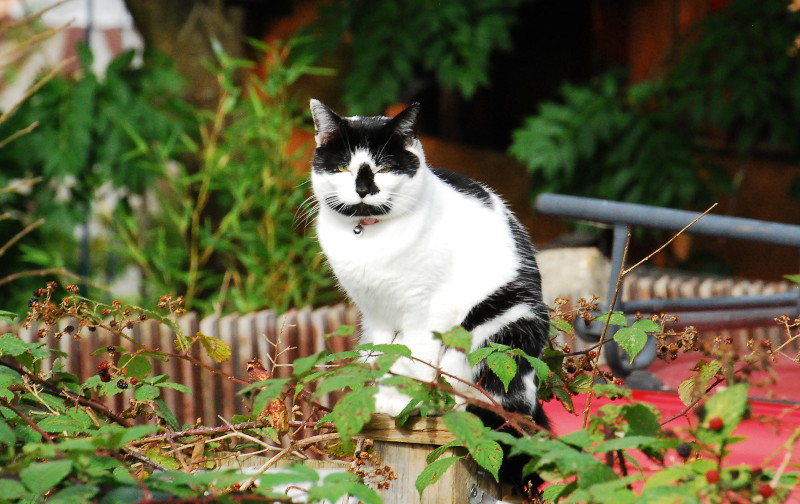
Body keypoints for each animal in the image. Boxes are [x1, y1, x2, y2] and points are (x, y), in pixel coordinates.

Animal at [308, 100, 552, 436]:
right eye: (343, 167)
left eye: (384, 168)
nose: (363, 189)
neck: (369, 234)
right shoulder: (376, 314)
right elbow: (389, 357)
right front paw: (388, 400)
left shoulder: (426, 310)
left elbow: (418, 358)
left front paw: (412, 402)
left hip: (505, 321)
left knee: (502, 398)